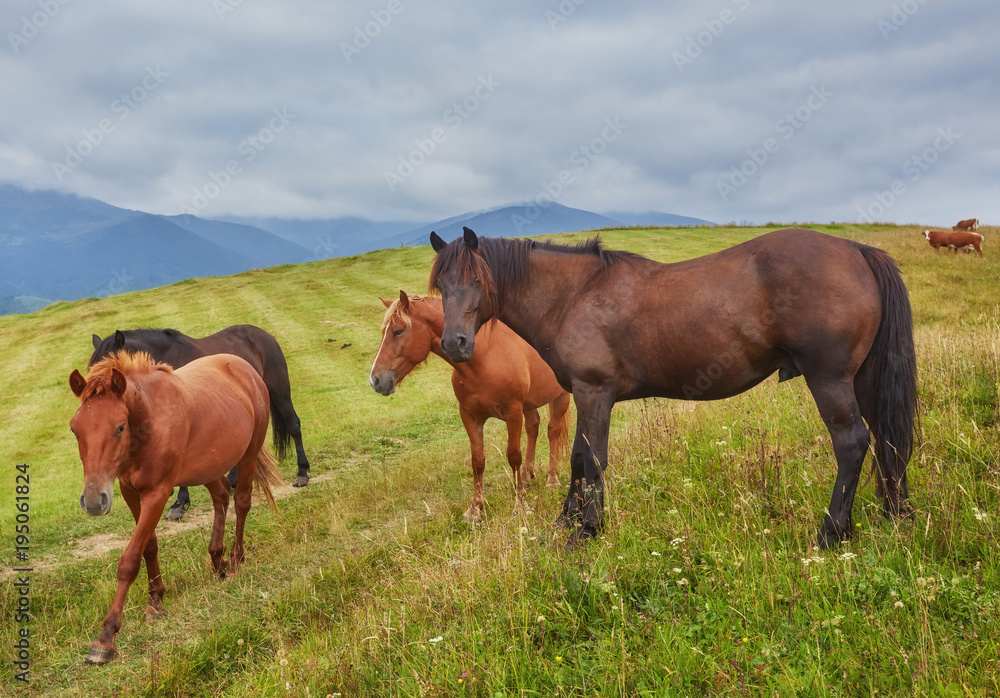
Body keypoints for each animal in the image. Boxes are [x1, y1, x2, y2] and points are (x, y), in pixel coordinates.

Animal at [69, 350, 283, 664]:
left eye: (120, 427)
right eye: (75, 429)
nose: (94, 501)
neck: (148, 422)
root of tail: (242, 365)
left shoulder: (157, 493)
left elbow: (130, 559)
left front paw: (106, 636)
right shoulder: (130, 491)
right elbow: (149, 546)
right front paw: (156, 602)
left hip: (248, 455)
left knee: (242, 502)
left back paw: (234, 561)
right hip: (208, 467)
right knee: (221, 496)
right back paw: (217, 560)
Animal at [369, 291, 571, 523]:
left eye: (398, 331)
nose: (375, 380)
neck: (484, 358)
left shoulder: (513, 413)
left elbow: (513, 456)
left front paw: (520, 506)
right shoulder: (470, 416)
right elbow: (477, 461)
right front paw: (475, 509)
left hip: (560, 396)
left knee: (553, 431)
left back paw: (552, 480)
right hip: (529, 404)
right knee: (533, 428)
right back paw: (528, 477)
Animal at [429, 227, 917, 549]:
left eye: (477, 279)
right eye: (441, 286)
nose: (455, 344)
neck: (574, 295)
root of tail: (856, 249)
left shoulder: (594, 393)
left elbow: (592, 460)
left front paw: (587, 530)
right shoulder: (585, 397)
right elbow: (576, 459)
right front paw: (566, 523)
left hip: (829, 379)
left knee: (852, 443)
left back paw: (831, 533)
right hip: (862, 379)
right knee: (887, 440)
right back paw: (896, 515)